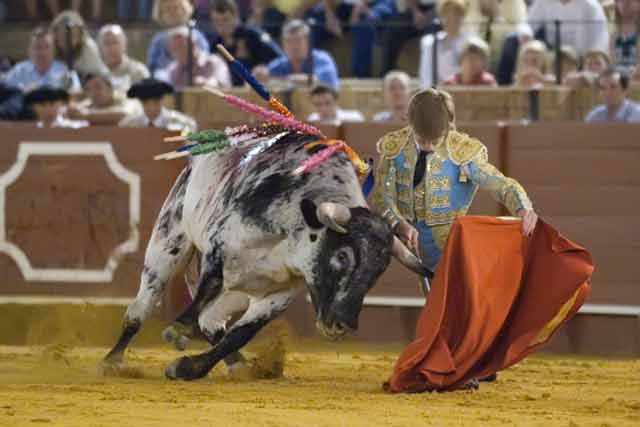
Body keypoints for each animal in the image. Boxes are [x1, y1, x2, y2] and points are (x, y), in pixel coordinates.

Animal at [102, 130, 428, 382]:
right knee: (142, 307)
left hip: (240, 290)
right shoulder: (220, 248)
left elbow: (240, 333)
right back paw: (112, 361)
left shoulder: (281, 294)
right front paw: (178, 330)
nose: (342, 325)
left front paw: (187, 368)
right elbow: (207, 288)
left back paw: (238, 364)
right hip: (169, 240)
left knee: (212, 322)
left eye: (378, 272)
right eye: (343, 256)